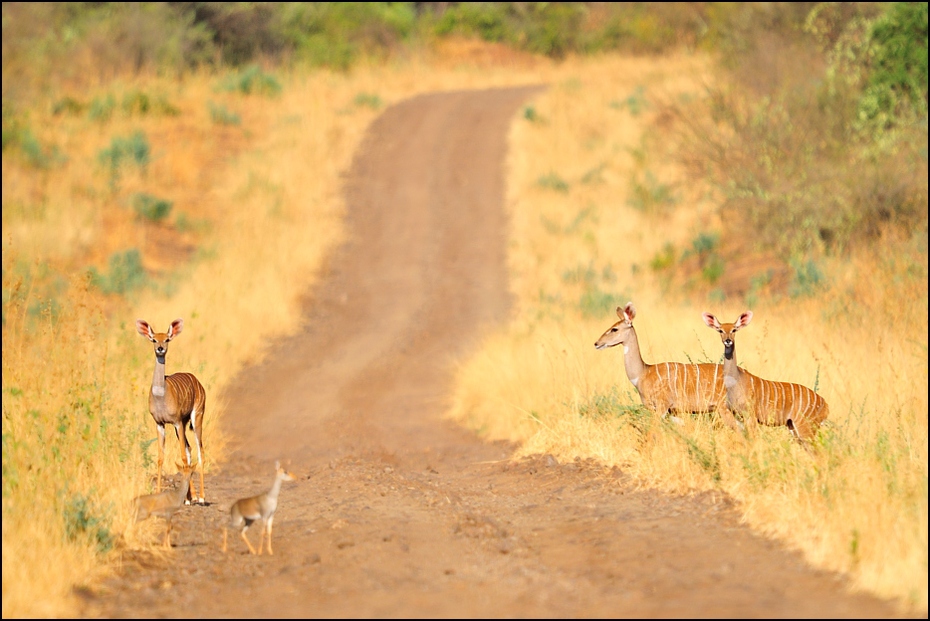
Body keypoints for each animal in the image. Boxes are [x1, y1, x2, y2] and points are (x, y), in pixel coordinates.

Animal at [136, 318, 207, 502]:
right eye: (153, 339)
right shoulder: (160, 423)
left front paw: (194, 497)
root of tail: (197, 382)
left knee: (199, 450)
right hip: (184, 423)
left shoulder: (176, 421)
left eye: (167, 339)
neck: (161, 394)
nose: (160, 348)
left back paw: (201, 497)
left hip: (196, 416)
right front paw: (158, 492)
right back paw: (190, 498)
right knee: (189, 450)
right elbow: (161, 458)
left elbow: (182, 455)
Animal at [700, 310, 832, 440]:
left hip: (805, 427)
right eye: (720, 330)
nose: (728, 341)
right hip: (793, 427)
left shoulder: (750, 416)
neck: (735, 382)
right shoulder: (738, 417)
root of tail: (825, 405)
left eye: (734, 329)